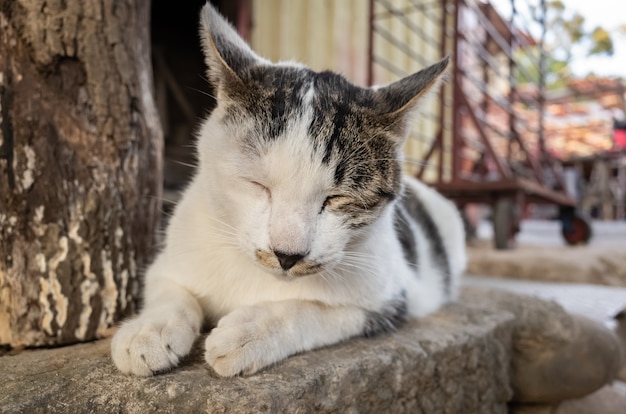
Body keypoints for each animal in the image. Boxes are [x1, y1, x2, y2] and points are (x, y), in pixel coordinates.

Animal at [111, 4, 464, 378]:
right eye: (257, 184)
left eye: (337, 198)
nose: (287, 255)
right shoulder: (171, 257)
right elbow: (172, 290)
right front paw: (150, 329)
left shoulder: (391, 298)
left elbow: (312, 310)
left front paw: (250, 331)